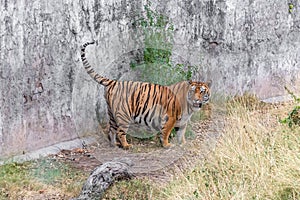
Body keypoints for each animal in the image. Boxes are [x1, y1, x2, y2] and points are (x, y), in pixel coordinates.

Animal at [79, 41, 211, 149]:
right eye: (193, 91)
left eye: (201, 91)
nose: (196, 100)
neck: (190, 107)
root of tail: (114, 82)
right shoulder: (170, 117)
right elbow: (166, 132)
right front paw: (166, 145)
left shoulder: (183, 120)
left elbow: (181, 133)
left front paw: (183, 143)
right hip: (124, 114)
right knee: (120, 132)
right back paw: (126, 146)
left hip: (112, 113)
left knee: (111, 130)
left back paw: (114, 144)